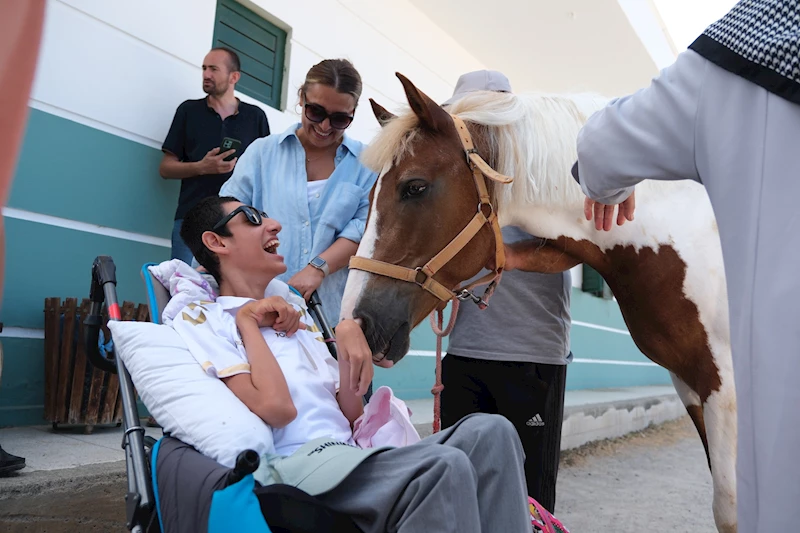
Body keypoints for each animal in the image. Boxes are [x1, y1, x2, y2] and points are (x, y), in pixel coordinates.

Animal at [342, 72, 736, 528]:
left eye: (415, 187)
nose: (354, 324)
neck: (693, 237)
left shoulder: (724, 385)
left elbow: (728, 507)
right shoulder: (689, 383)